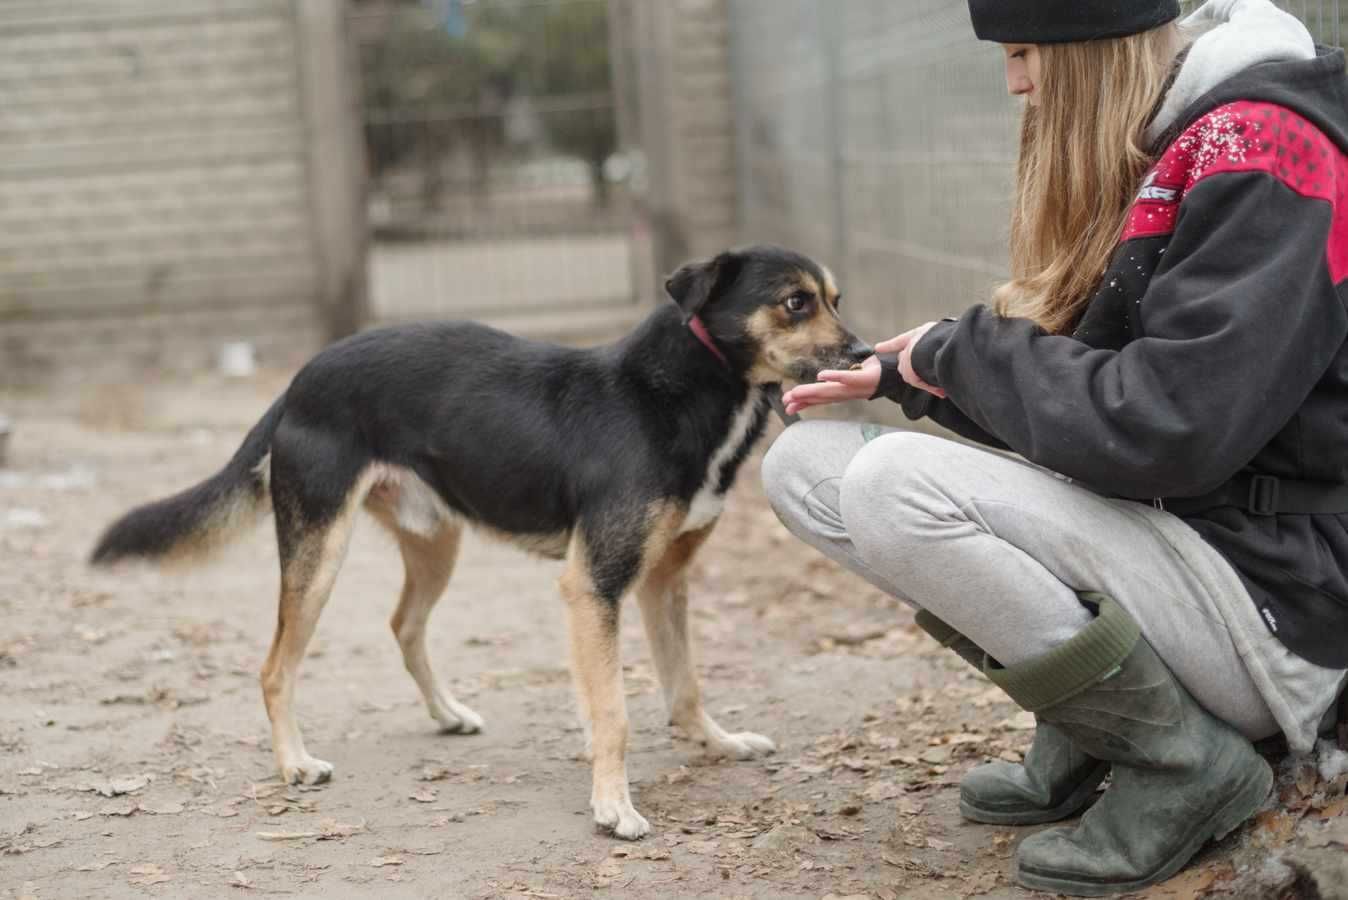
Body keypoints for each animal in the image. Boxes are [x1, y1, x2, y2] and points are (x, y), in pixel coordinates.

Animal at [97, 243, 873, 835]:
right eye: (795, 302)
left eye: (834, 298)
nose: (867, 351)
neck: (682, 389)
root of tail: (301, 378)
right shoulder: (594, 584)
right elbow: (615, 712)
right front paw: (613, 806)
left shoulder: (662, 580)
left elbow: (684, 683)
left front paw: (715, 743)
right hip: (318, 549)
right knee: (275, 666)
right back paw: (294, 763)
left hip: (435, 541)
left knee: (403, 624)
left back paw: (446, 714)